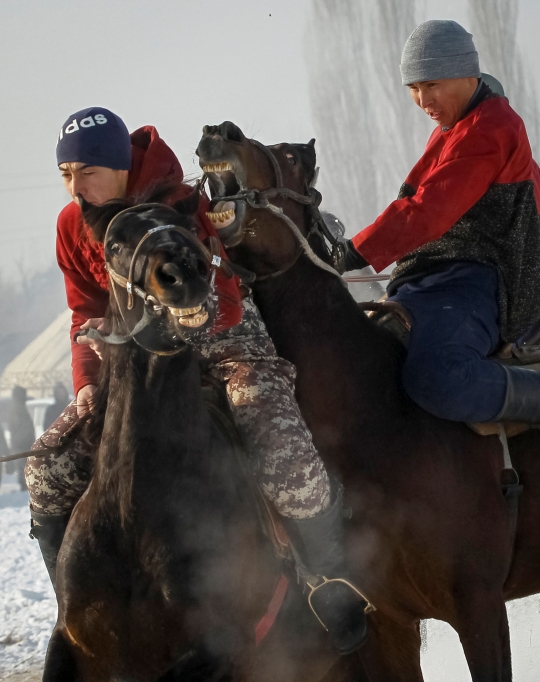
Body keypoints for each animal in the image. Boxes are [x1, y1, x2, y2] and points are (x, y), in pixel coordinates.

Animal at [41, 187, 350, 680]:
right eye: (114, 245)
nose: (183, 272)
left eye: (187, 227)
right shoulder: (70, 642)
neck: (134, 514)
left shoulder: (224, 647)